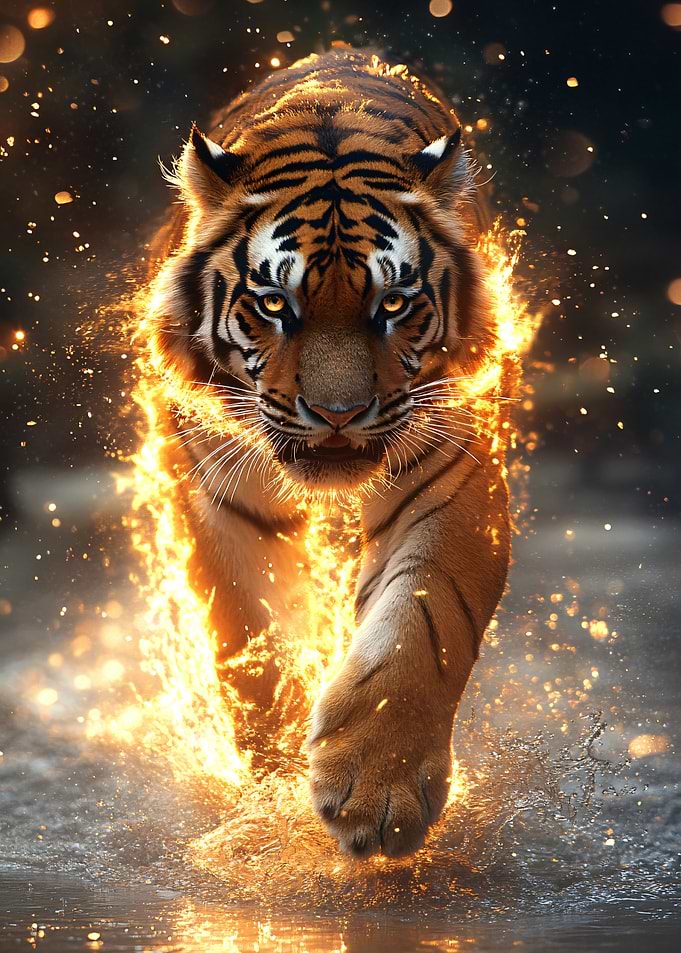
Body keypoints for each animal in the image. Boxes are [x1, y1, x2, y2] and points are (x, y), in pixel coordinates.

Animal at [149, 48, 511, 859]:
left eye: (394, 304)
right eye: (275, 305)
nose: (338, 415)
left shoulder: (453, 473)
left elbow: (420, 622)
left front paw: (377, 789)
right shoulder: (219, 487)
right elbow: (248, 629)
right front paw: (274, 773)